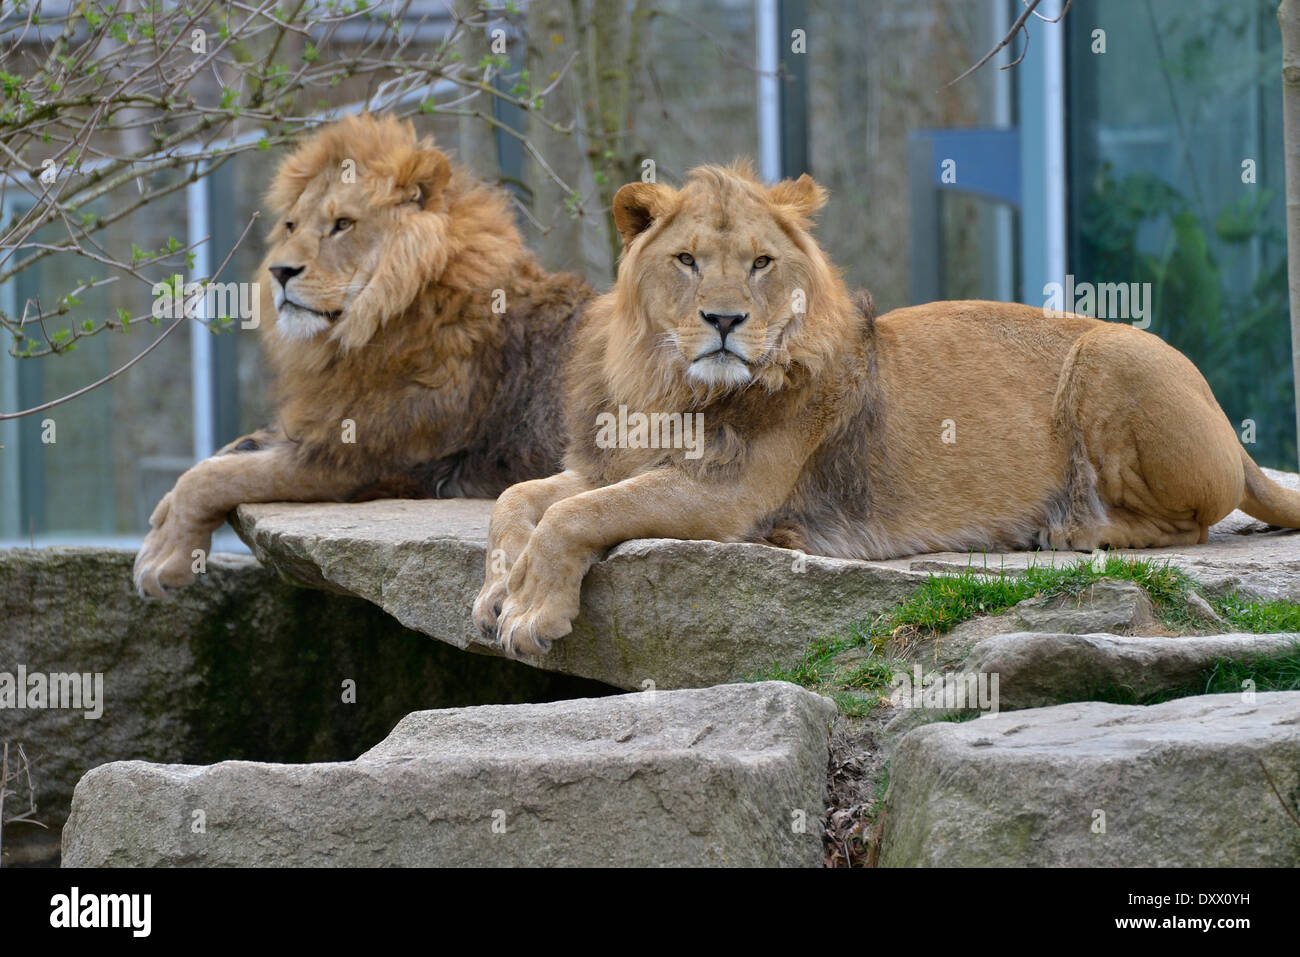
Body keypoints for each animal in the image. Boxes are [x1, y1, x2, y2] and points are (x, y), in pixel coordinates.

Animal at [130, 113, 590, 598]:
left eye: (343, 224)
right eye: (291, 226)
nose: (279, 271)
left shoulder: (358, 460)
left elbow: (214, 478)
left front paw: (164, 557)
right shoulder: (324, 422)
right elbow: (220, 457)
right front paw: (162, 520)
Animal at [473, 162, 1300, 657]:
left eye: (761, 263)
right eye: (687, 261)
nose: (724, 320)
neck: (668, 385)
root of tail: (1231, 430)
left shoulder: (728, 492)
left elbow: (576, 514)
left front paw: (532, 611)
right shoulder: (614, 460)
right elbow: (518, 498)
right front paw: (495, 592)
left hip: (1111, 353)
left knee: (1191, 523)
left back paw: (1074, 525)